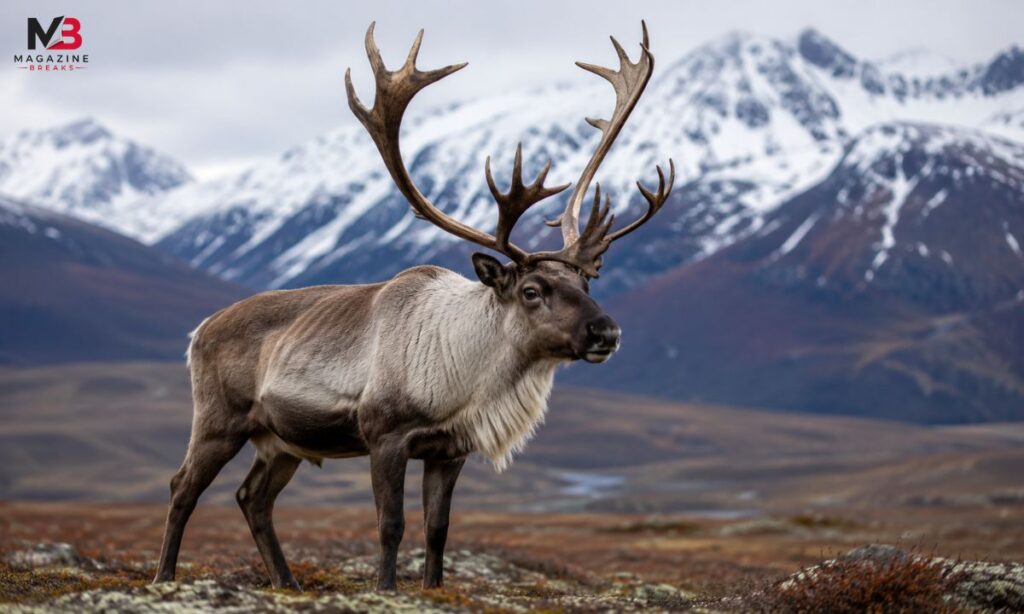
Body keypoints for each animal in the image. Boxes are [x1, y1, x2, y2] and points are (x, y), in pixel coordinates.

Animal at [153, 21, 674, 592]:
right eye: (532, 290)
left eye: (586, 282)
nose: (607, 332)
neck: (468, 377)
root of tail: (199, 330)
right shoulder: (385, 435)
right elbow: (391, 524)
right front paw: (385, 588)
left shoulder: (450, 451)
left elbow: (437, 529)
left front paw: (433, 587)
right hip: (220, 419)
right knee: (182, 487)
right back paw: (164, 577)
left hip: (282, 441)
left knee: (253, 498)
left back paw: (287, 583)